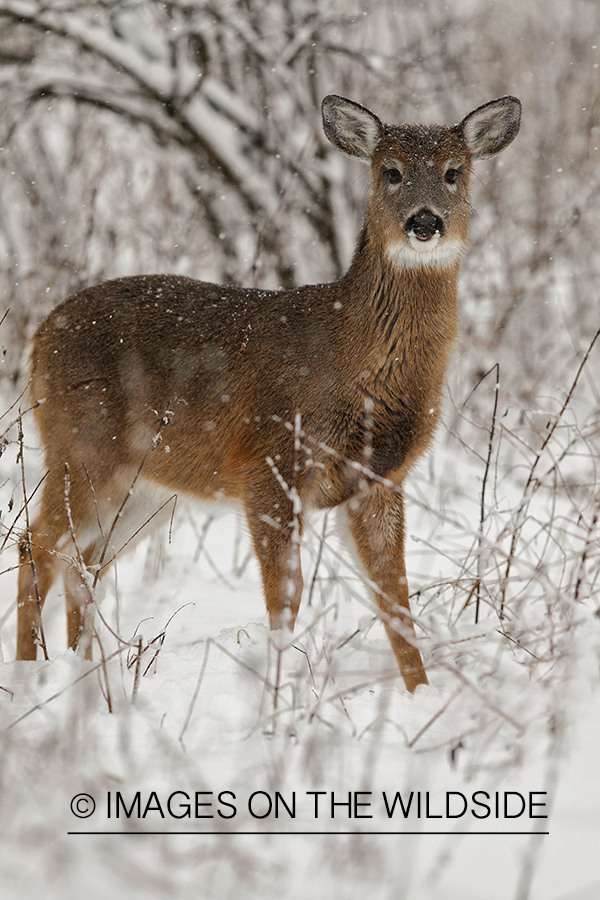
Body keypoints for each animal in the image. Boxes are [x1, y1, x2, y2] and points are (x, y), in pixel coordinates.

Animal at [15, 95, 520, 692]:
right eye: (390, 172)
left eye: (454, 172)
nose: (424, 221)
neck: (354, 358)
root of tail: (39, 337)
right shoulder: (269, 464)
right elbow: (286, 602)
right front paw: (277, 694)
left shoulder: (380, 480)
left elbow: (397, 604)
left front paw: (421, 695)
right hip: (81, 447)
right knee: (38, 544)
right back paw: (30, 674)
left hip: (148, 489)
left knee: (86, 562)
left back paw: (87, 677)